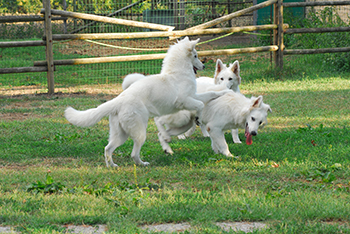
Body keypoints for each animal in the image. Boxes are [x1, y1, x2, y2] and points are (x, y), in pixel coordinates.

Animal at [65, 36, 230, 166]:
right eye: (195, 56)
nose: (204, 65)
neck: (176, 73)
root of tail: (118, 101)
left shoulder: (193, 96)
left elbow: (209, 94)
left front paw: (224, 92)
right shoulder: (185, 101)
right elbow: (201, 105)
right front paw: (198, 118)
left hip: (121, 134)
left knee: (108, 148)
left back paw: (112, 165)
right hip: (140, 131)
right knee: (134, 153)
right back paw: (145, 162)